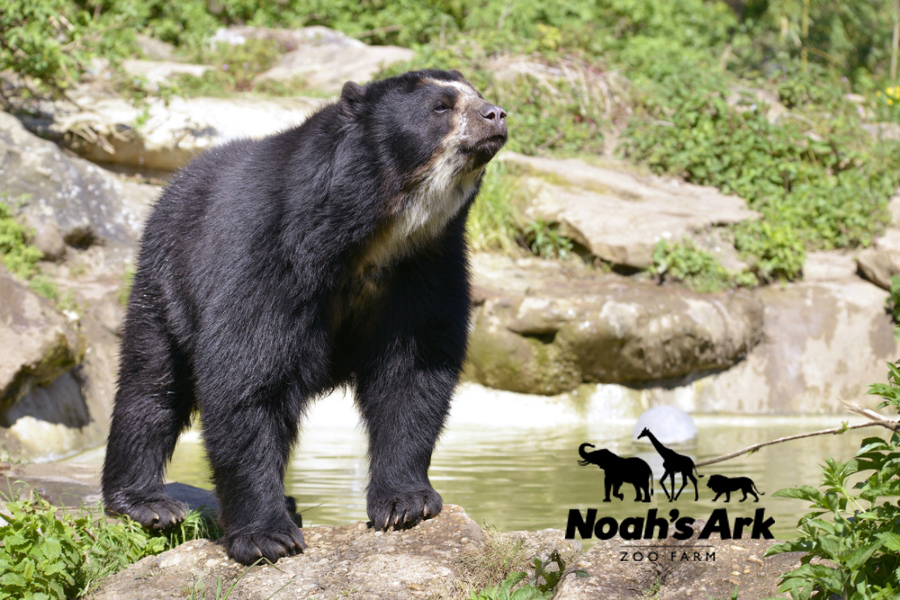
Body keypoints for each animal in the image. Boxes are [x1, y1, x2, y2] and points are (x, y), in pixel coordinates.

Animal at [101, 69, 507, 565]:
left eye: (478, 95)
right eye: (441, 106)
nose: (496, 115)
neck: (377, 228)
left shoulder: (426, 266)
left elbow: (413, 372)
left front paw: (405, 504)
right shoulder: (270, 250)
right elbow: (247, 377)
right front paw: (267, 536)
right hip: (167, 275)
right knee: (152, 382)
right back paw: (147, 502)